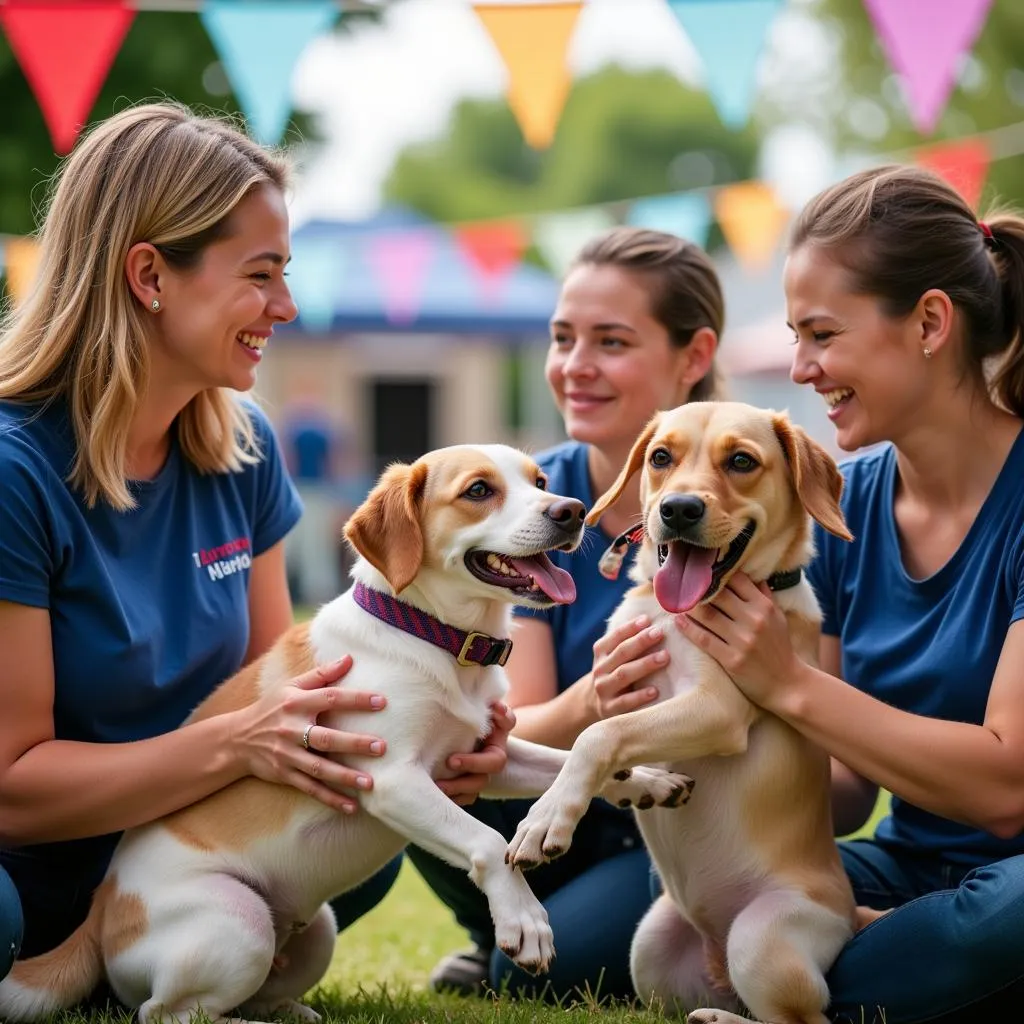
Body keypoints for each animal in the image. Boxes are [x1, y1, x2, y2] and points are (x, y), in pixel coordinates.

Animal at [2, 444, 696, 1024]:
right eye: (479, 490)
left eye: (541, 482)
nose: (572, 510)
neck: (434, 638)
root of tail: (98, 913)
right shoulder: (389, 777)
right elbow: (484, 840)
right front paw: (524, 919)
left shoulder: (484, 755)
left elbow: (569, 759)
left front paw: (645, 781)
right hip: (238, 922)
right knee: (165, 1014)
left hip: (316, 933)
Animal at [509, 403, 856, 1024]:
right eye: (660, 457)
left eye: (741, 460)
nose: (678, 509)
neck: (677, 612)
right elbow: (603, 736)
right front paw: (642, 786)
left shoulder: (718, 709)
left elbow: (599, 735)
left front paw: (546, 820)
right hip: (649, 951)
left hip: (763, 939)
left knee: (806, 1018)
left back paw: (720, 1018)